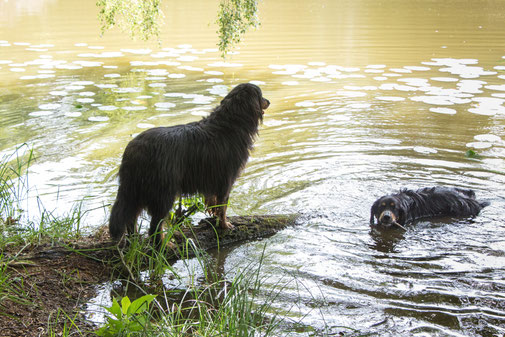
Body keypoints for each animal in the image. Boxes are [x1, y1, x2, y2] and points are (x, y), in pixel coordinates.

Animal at [109, 82, 270, 243]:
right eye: (261, 95)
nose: (268, 101)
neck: (231, 123)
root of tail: (134, 149)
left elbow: (214, 202)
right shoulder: (226, 180)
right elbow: (223, 206)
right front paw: (224, 225)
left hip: (136, 190)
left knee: (131, 217)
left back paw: (134, 238)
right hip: (163, 192)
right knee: (155, 224)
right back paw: (164, 243)